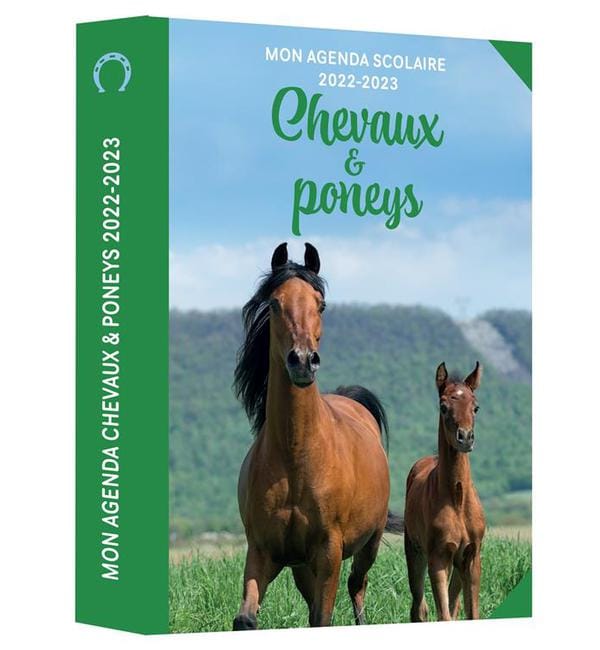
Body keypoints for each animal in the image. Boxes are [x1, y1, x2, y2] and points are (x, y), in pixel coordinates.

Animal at [232, 242, 400, 630]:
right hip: (301, 567)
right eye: (274, 303)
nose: (304, 361)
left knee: (357, 586)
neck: (296, 456)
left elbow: (324, 616)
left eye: (320, 304)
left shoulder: (328, 552)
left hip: (368, 543)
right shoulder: (262, 550)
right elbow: (246, 618)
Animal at [403, 361, 486, 622]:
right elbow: (443, 613)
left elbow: (470, 613)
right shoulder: (438, 557)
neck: (457, 500)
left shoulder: (471, 557)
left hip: (458, 566)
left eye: (475, 407)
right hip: (415, 553)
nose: (465, 438)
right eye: (443, 406)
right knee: (419, 607)